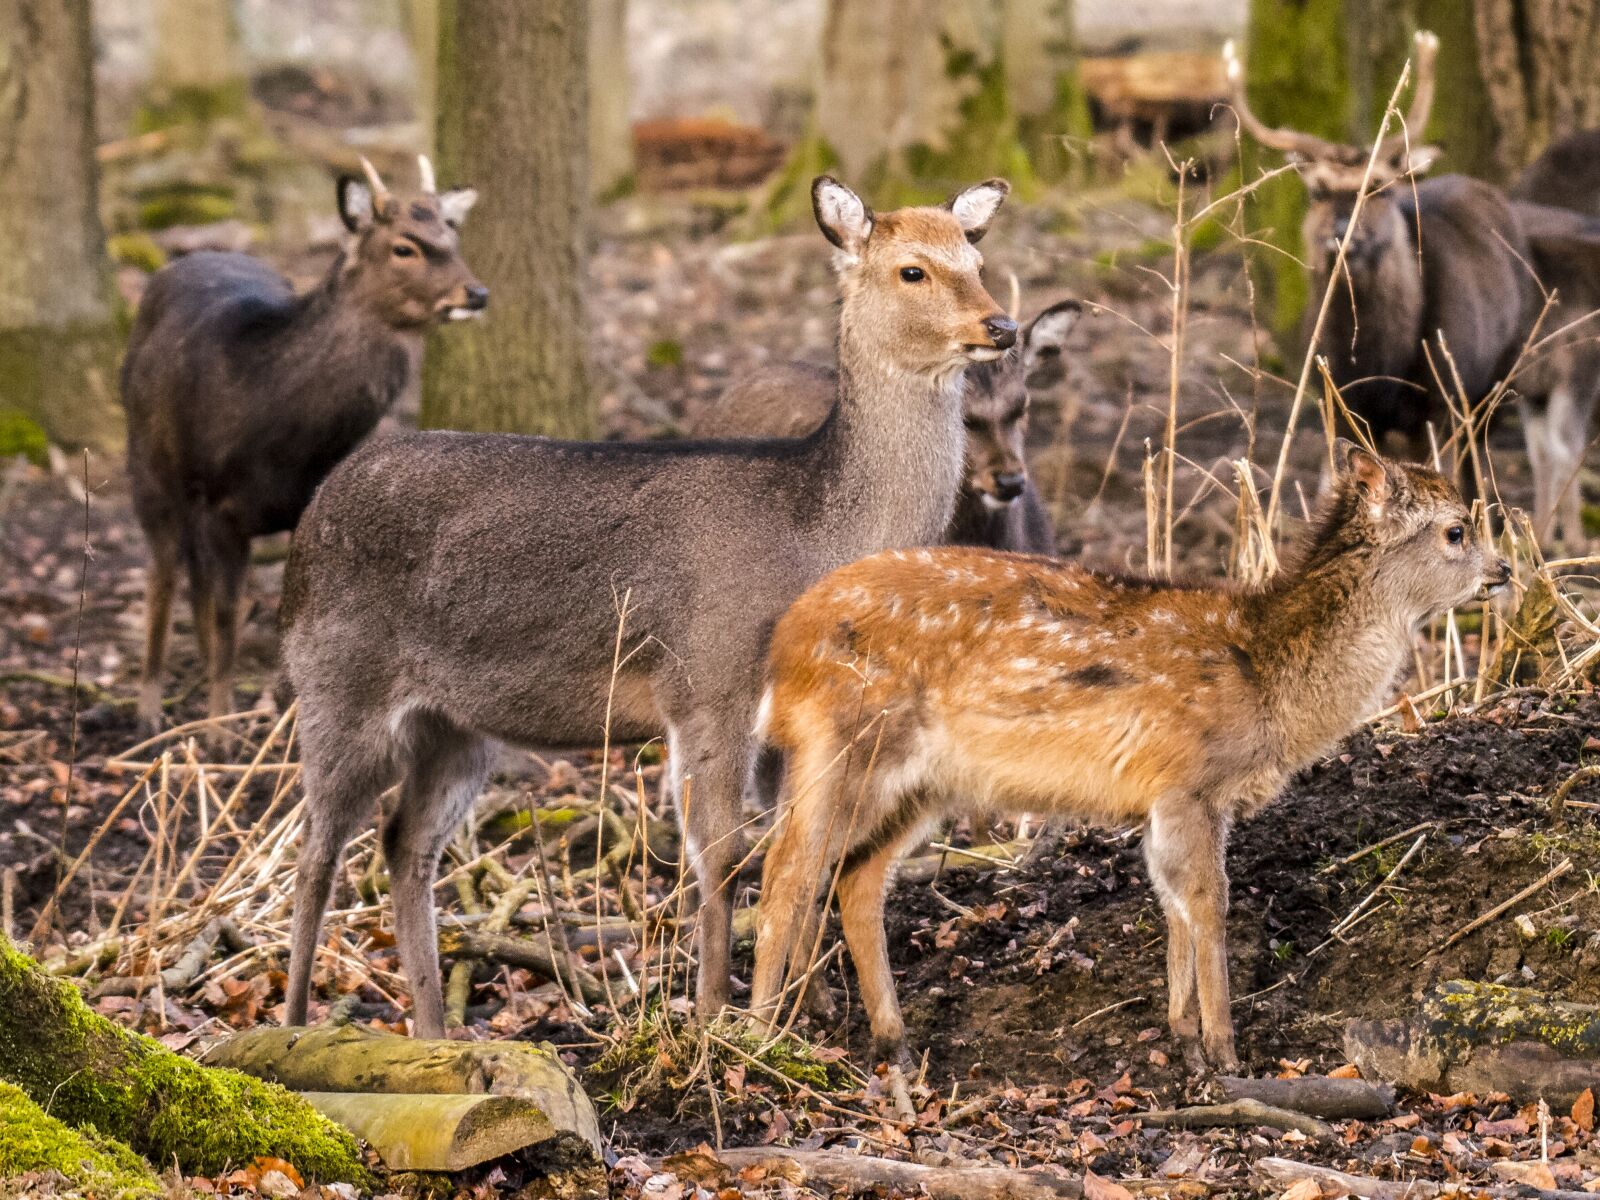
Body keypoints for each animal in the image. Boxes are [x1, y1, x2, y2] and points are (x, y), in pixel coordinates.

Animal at [121, 156, 484, 732]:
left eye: (452, 235)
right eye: (404, 246)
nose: (476, 294)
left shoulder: (303, 503)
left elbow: (286, 613)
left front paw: (283, 716)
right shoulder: (223, 504)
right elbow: (229, 612)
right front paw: (221, 728)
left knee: (194, 578)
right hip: (148, 464)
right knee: (162, 574)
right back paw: (151, 709)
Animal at [278, 176, 1017, 1037]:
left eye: (977, 259)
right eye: (911, 270)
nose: (1000, 326)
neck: (813, 533)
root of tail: (310, 520)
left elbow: (800, 849)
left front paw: (809, 1008)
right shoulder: (706, 682)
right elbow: (722, 853)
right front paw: (718, 1016)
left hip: (455, 723)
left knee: (405, 841)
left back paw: (435, 1031)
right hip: (337, 682)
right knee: (317, 847)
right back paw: (293, 1022)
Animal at [751, 441, 1509, 1073]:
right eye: (1456, 530)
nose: (1503, 571)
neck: (1268, 676)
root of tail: (784, 653)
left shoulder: (1167, 801)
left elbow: (1173, 901)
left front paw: (1184, 1038)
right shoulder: (1189, 783)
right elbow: (1208, 901)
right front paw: (1225, 1051)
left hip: (918, 784)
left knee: (854, 878)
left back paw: (892, 1040)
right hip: (848, 742)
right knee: (786, 868)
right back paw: (759, 1032)